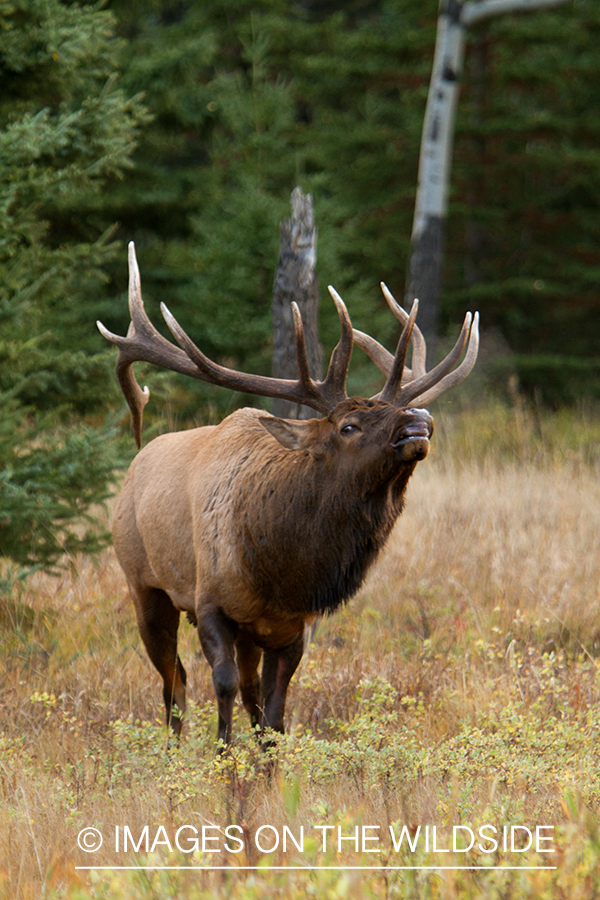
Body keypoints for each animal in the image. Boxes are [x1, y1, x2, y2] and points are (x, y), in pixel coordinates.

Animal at [99, 239, 482, 744]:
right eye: (348, 425)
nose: (418, 420)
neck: (282, 571)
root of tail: (135, 465)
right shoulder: (210, 602)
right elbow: (222, 689)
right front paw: (223, 761)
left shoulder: (292, 627)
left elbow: (273, 713)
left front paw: (265, 765)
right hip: (143, 584)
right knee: (174, 680)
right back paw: (172, 749)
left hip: (241, 631)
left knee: (236, 690)